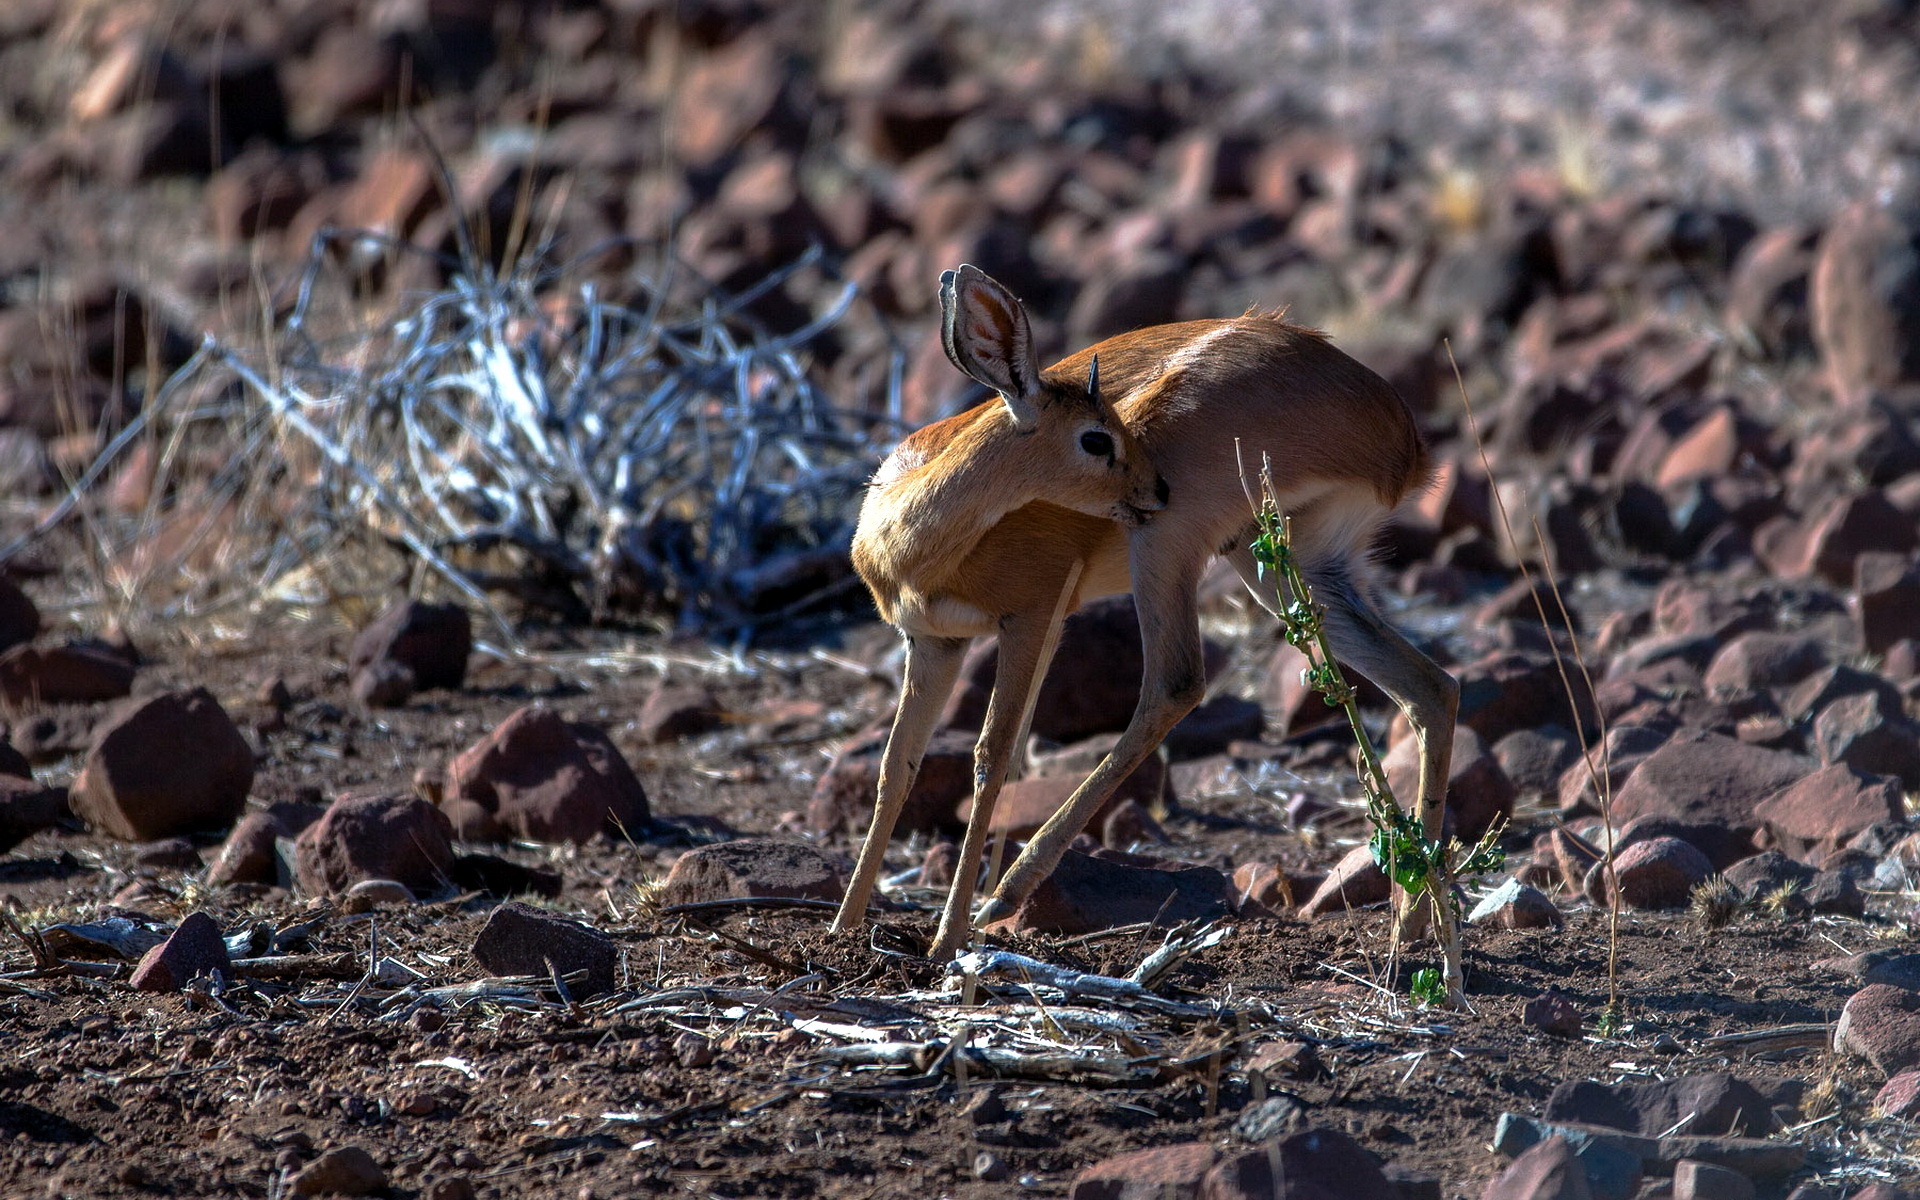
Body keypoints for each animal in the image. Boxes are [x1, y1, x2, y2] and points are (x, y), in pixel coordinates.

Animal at [833, 261, 1459, 956]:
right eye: (1095, 438)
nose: (1155, 486)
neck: (913, 541)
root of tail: (1400, 437)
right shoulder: (933, 643)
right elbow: (895, 768)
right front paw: (843, 928)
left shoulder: (1033, 618)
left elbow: (992, 758)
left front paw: (945, 942)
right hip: (1286, 564)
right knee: (1430, 686)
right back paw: (1415, 928)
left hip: (1168, 545)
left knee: (1174, 684)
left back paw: (1009, 892)